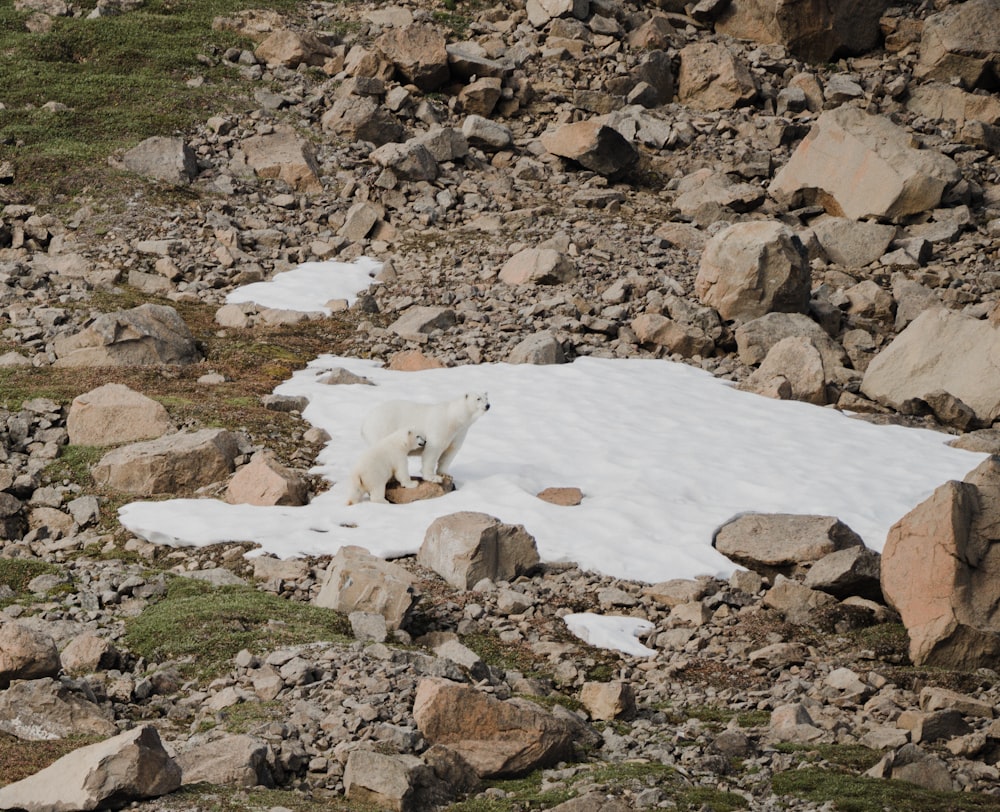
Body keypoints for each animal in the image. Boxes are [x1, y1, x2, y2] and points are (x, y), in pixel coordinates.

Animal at [362, 392, 490, 482]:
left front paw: (445, 474)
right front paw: (433, 477)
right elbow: (433, 450)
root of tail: (365, 423)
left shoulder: (459, 433)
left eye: (487, 397)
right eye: (478, 398)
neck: (454, 419)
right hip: (382, 428)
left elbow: (450, 452)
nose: (488, 405)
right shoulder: (440, 427)